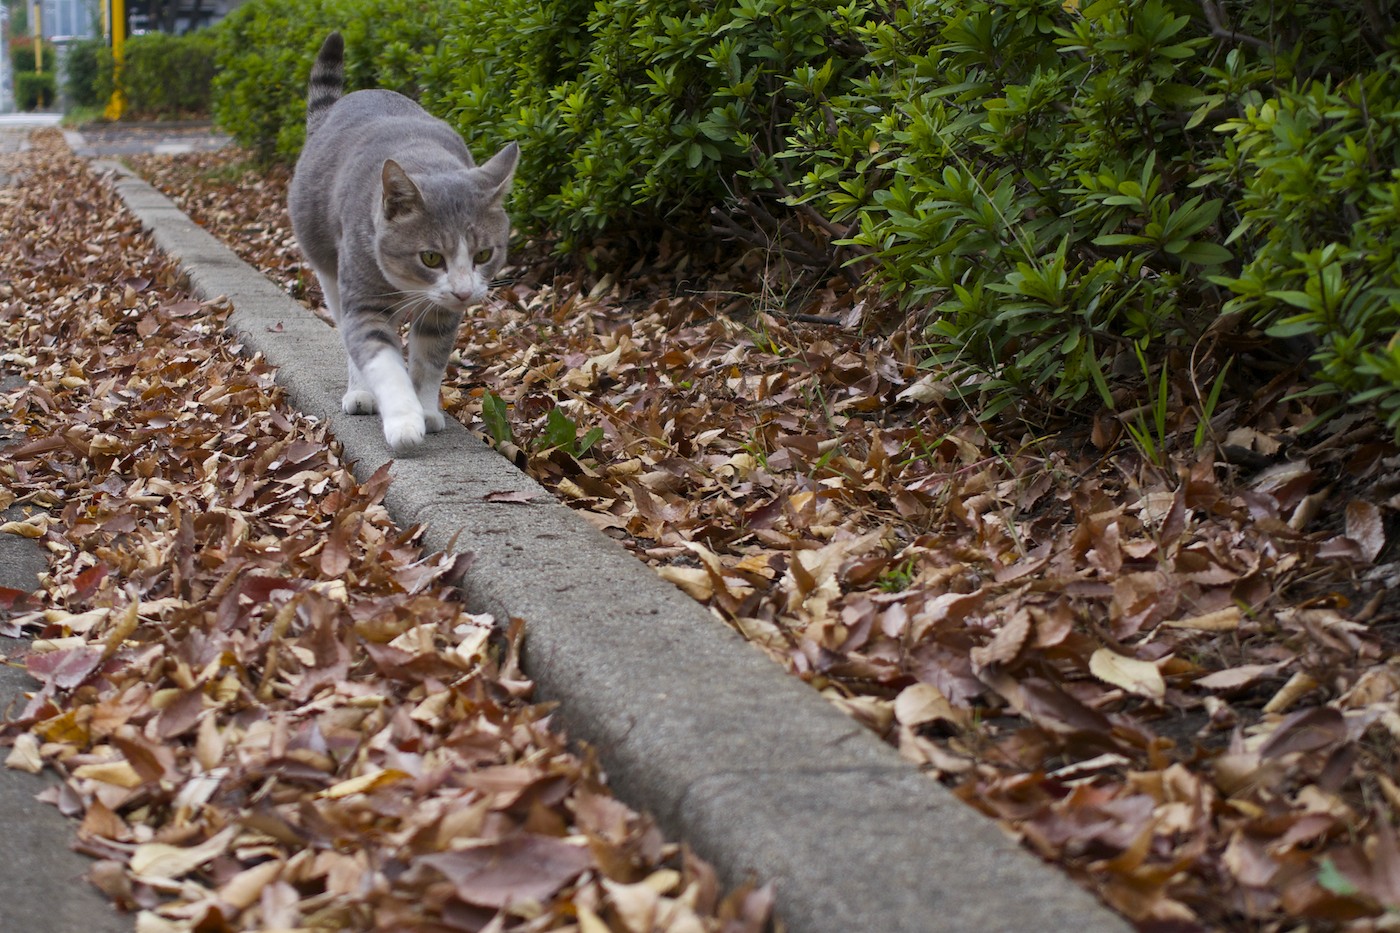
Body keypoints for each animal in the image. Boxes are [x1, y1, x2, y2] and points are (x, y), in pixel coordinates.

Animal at [289, 31, 520, 448]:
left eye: (483, 254)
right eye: (430, 257)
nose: (464, 292)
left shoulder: (443, 313)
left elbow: (429, 359)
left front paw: (425, 409)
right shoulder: (363, 296)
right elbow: (382, 359)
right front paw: (404, 420)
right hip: (329, 271)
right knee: (348, 332)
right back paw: (360, 392)